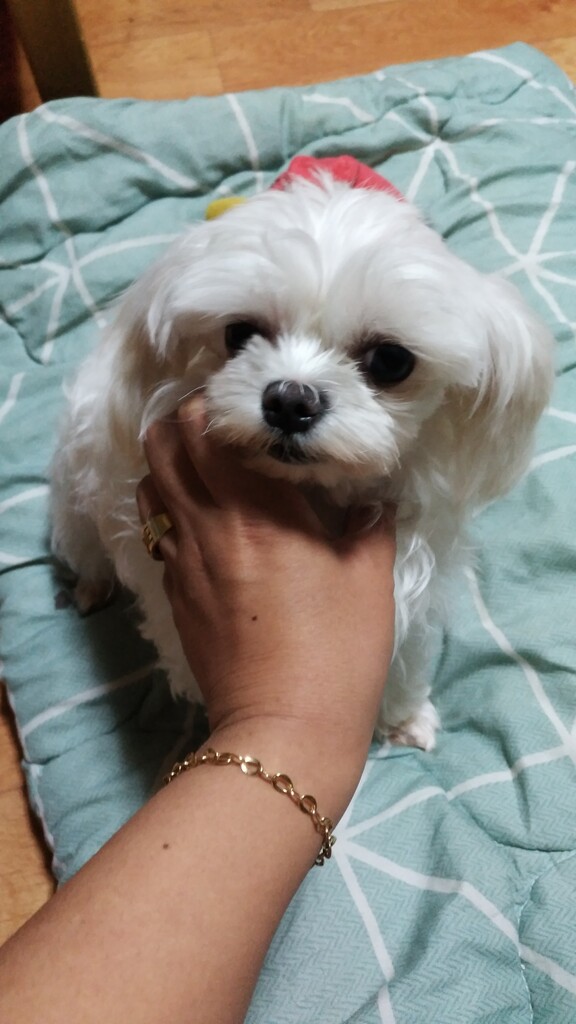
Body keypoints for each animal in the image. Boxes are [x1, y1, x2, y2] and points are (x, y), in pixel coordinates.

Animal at [50, 160, 554, 750]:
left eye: (391, 360)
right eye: (238, 333)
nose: (290, 400)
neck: (320, 497)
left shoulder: (411, 584)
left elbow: (403, 657)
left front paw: (402, 716)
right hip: (76, 496)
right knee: (84, 545)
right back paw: (91, 585)